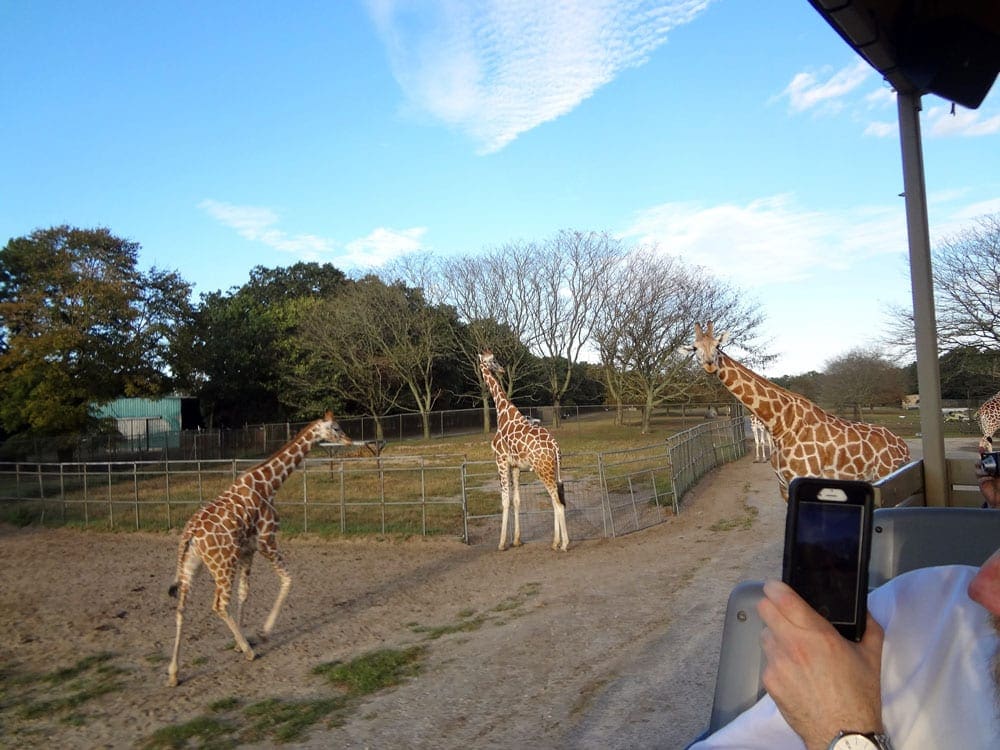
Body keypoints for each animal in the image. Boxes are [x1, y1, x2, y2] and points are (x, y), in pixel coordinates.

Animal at [165, 412, 352, 688]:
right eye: (336, 427)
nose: (349, 440)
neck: (270, 484)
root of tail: (190, 535)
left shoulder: (248, 550)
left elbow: (245, 593)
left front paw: (238, 642)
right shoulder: (266, 541)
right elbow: (288, 580)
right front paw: (261, 634)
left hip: (191, 566)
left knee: (181, 608)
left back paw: (173, 673)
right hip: (223, 564)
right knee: (218, 605)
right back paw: (250, 652)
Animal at [478, 352, 572, 552]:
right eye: (491, 360)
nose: (501, 369)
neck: (503, 413)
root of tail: (555, 447)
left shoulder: (501, 460)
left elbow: (505, 500)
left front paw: (502, 543)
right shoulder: (515, 466)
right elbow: (516, 500)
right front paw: (516, 540)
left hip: (543, 470)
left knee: (558, 503)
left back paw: (564, 544)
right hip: (553, 469)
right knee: (555, 500)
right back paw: (555, 542)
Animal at [688, 326, 916, 502]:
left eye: (718, 345)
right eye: (694, 348)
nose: (710, 364)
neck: (780, 425)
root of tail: (904, 447)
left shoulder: (805, 480)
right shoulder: (784, 486)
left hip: (887, 480)